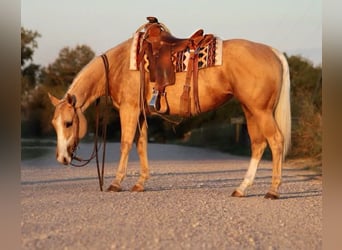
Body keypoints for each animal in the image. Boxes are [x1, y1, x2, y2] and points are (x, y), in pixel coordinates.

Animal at [48, 32, 290, 199]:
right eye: (54, 124)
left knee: (276, 141)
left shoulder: (129, 109)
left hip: (261, 111)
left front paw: (116, 183)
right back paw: (241, 188)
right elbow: (141, 144)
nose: (61, 158)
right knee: (258, 144)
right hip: (251, 110)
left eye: (68, 123)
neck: (121, 65)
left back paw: (273, 191)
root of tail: (273, 51)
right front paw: (140, 183)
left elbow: (126, 143)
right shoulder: (141, 114)